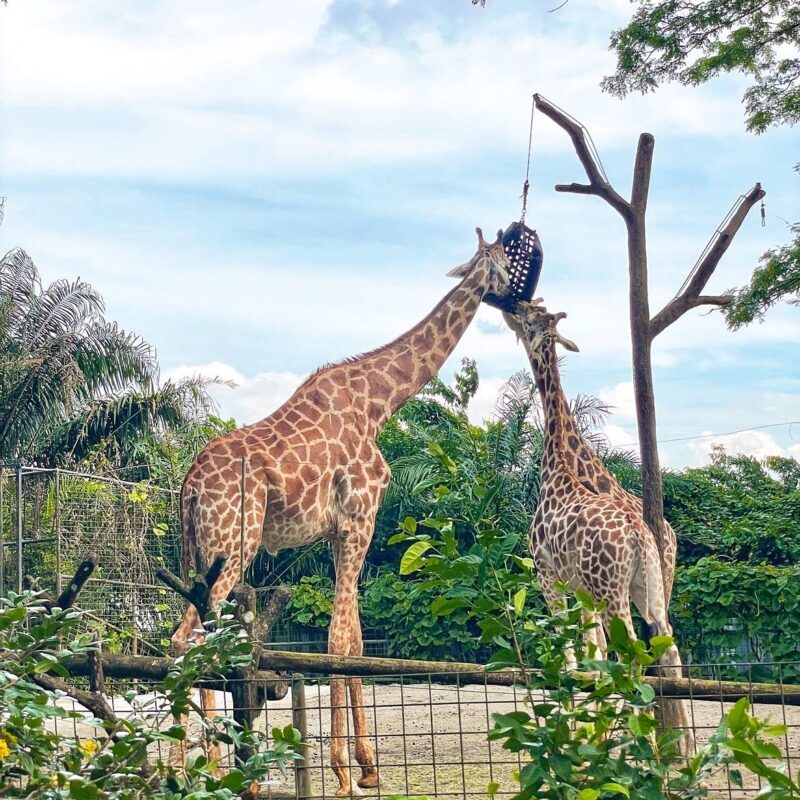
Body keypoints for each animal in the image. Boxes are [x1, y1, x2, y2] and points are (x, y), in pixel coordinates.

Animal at [173, 225, 512, 792]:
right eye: (505, 261)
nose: (515, 295)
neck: (379, 402)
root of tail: (188, 487)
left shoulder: (338, 530)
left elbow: (354, 640)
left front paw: (368, 765)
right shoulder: (361, 518)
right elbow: (338, 640)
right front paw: (342, 771)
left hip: (201, 552)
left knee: (188, 637)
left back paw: (196, 766)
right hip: (233, 543)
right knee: (193, 638)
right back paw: (213, 771)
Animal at [504, 302, 692, 744]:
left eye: (531, 319)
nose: (513, 308)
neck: (557, 469)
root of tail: (643, 533)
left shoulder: (548, 576)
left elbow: (571, 661)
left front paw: (572, 735)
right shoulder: (580, 589)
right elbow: (591, 659)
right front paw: (585, 731)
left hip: (611, 591)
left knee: (632, 657)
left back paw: (636, 745)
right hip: (648, 588)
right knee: (666, 647)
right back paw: (682, 747)